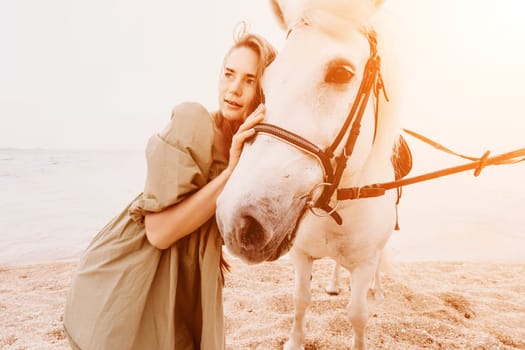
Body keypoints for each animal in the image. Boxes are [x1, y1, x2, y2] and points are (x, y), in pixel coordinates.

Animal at [215, 1, 400, 348]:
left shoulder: (365, 263)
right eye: (266, 79)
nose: (239, 222)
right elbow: (300, 300)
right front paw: (295, 341)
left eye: (341, 72)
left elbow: (358, 315)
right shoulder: (300, 256)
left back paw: (379, 290)